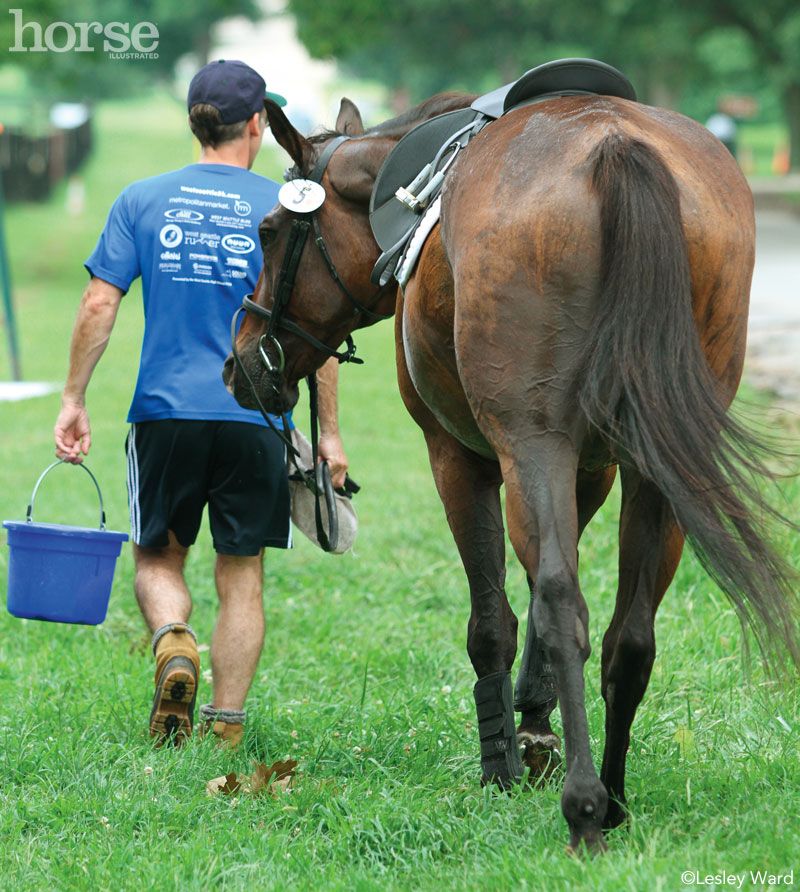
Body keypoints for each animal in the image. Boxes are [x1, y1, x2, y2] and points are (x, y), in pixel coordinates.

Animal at [220, 87, 800, 852]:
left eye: (267, 231)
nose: (240, 362)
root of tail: (615, 144)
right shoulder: (591, 470)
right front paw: (535, 723)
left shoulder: (460, 458)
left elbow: (496, 615)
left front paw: (502, 761)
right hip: (655, 470)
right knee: (630, 634)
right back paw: (613, 795)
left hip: (532, 444)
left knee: (562, 602)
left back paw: (584, 806)